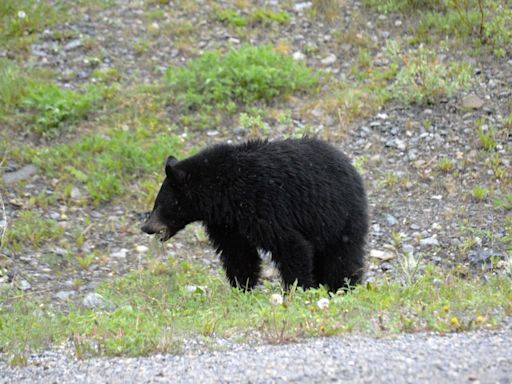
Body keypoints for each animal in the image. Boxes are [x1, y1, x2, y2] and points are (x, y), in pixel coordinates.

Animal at [141, 138, 368, 292]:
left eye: (160, 204)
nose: (146, 227)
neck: (220, 194)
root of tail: (351, 167)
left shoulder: (263, 204)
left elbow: (291, 245)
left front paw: (298, 289)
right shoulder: (225, 223)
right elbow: (237, 253)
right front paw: (242, 288)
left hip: (340, 216)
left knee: (342, 256)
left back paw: (343, 287)